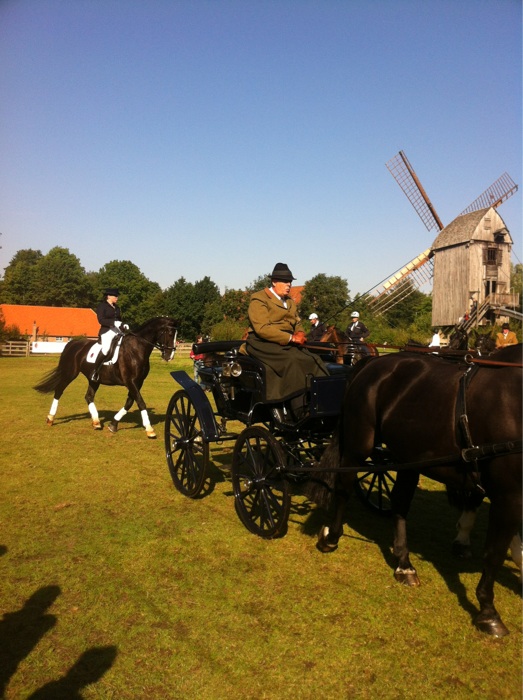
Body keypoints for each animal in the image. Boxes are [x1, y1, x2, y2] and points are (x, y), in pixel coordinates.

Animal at [34, 318, 179, 438]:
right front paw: (149, 429)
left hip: (94, 379)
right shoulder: (130, 381)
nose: (169, 356)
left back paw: (96, 422)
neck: (136, 349)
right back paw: (50, 418)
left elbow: (130, 402)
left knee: (89, 396)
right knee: (59, 391)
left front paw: (113, 424)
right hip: (70, 373)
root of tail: (73, 343)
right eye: (170, 334)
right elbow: (140, 402)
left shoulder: (138, 382)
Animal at [308, 344, 523, 636]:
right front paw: (488, 613)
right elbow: (494, 554)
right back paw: (331, 537)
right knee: (344, 488)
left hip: (407, 458)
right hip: (358, 446)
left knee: (399, 503)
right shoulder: (508, 495)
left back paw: (403, 565)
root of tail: (374, 362)